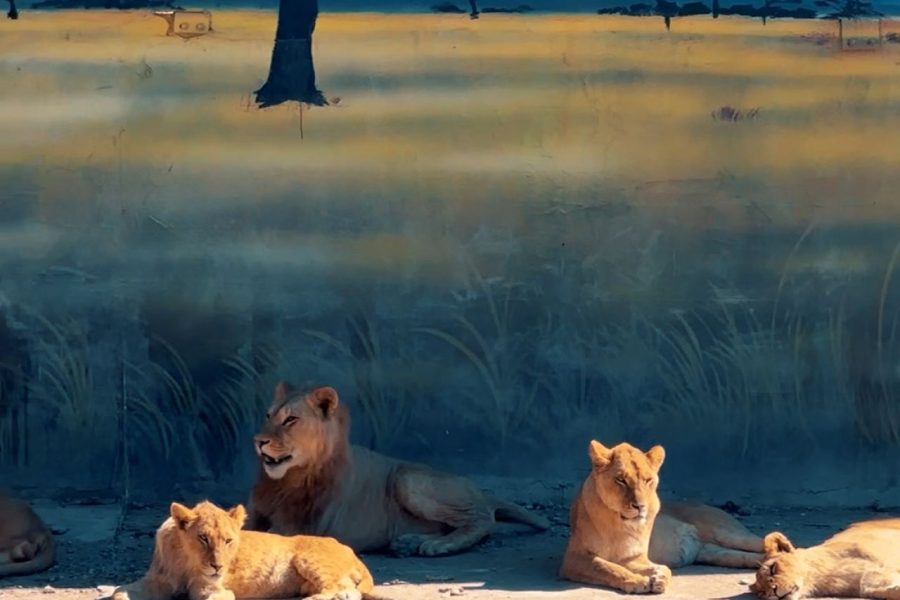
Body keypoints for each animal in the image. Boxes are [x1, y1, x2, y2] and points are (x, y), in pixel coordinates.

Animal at [113, 500, 388, 600]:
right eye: (203, 538)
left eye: (228, 540)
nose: (218, 567)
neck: (186, 560)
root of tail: (351, 551)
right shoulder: (156, 581)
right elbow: (118, 592)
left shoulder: (215, 590)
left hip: (309, 559)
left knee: (341, 591)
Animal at [247, 383, 550, 557]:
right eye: (268, 415)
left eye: (291, 420)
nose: (258, 441)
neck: (282, 482)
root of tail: (478, 489)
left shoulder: (301, 527)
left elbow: (259, 537)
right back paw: (407, 543)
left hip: (407, 478)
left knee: (483, 520)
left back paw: (438, 546)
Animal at [560, 440, 764, 594]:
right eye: (621, 480)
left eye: (647, 480)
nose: (640, 506)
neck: (619, 523)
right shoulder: (574, 558)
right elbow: (608, 567)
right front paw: (638, 581)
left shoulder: (635, 557)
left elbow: (661, 568)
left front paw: (660, 578)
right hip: (715, 552)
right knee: (751, 556)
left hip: (727, 533)